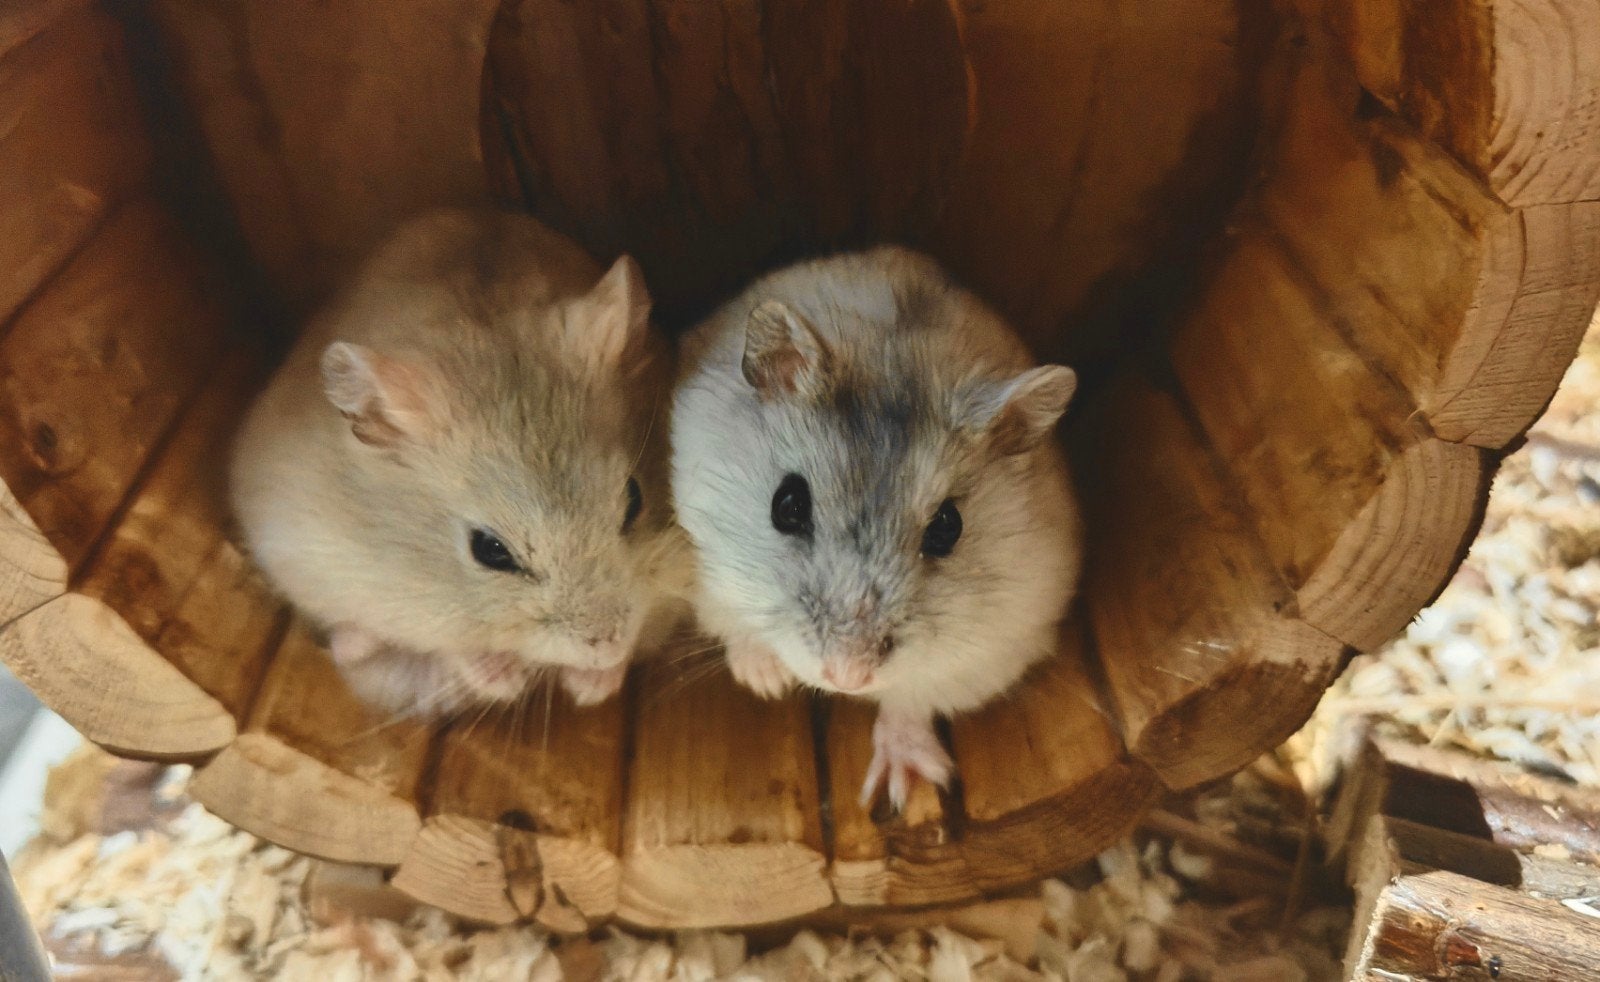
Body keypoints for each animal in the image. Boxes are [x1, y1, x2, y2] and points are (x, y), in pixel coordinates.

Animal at [230, 208, 679, 716]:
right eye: (489, 550)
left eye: (635, 499)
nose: (607, 643)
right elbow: (445, 641)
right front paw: (505, 679)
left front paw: (591, 687)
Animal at [671, 246, 1081, 808]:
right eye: (786, 505)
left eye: (949, 528)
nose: (847, 677)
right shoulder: (700, 570)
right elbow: (737, 624)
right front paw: (767, 683)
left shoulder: (994, 649)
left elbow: (910, 698)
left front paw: (898, 790)